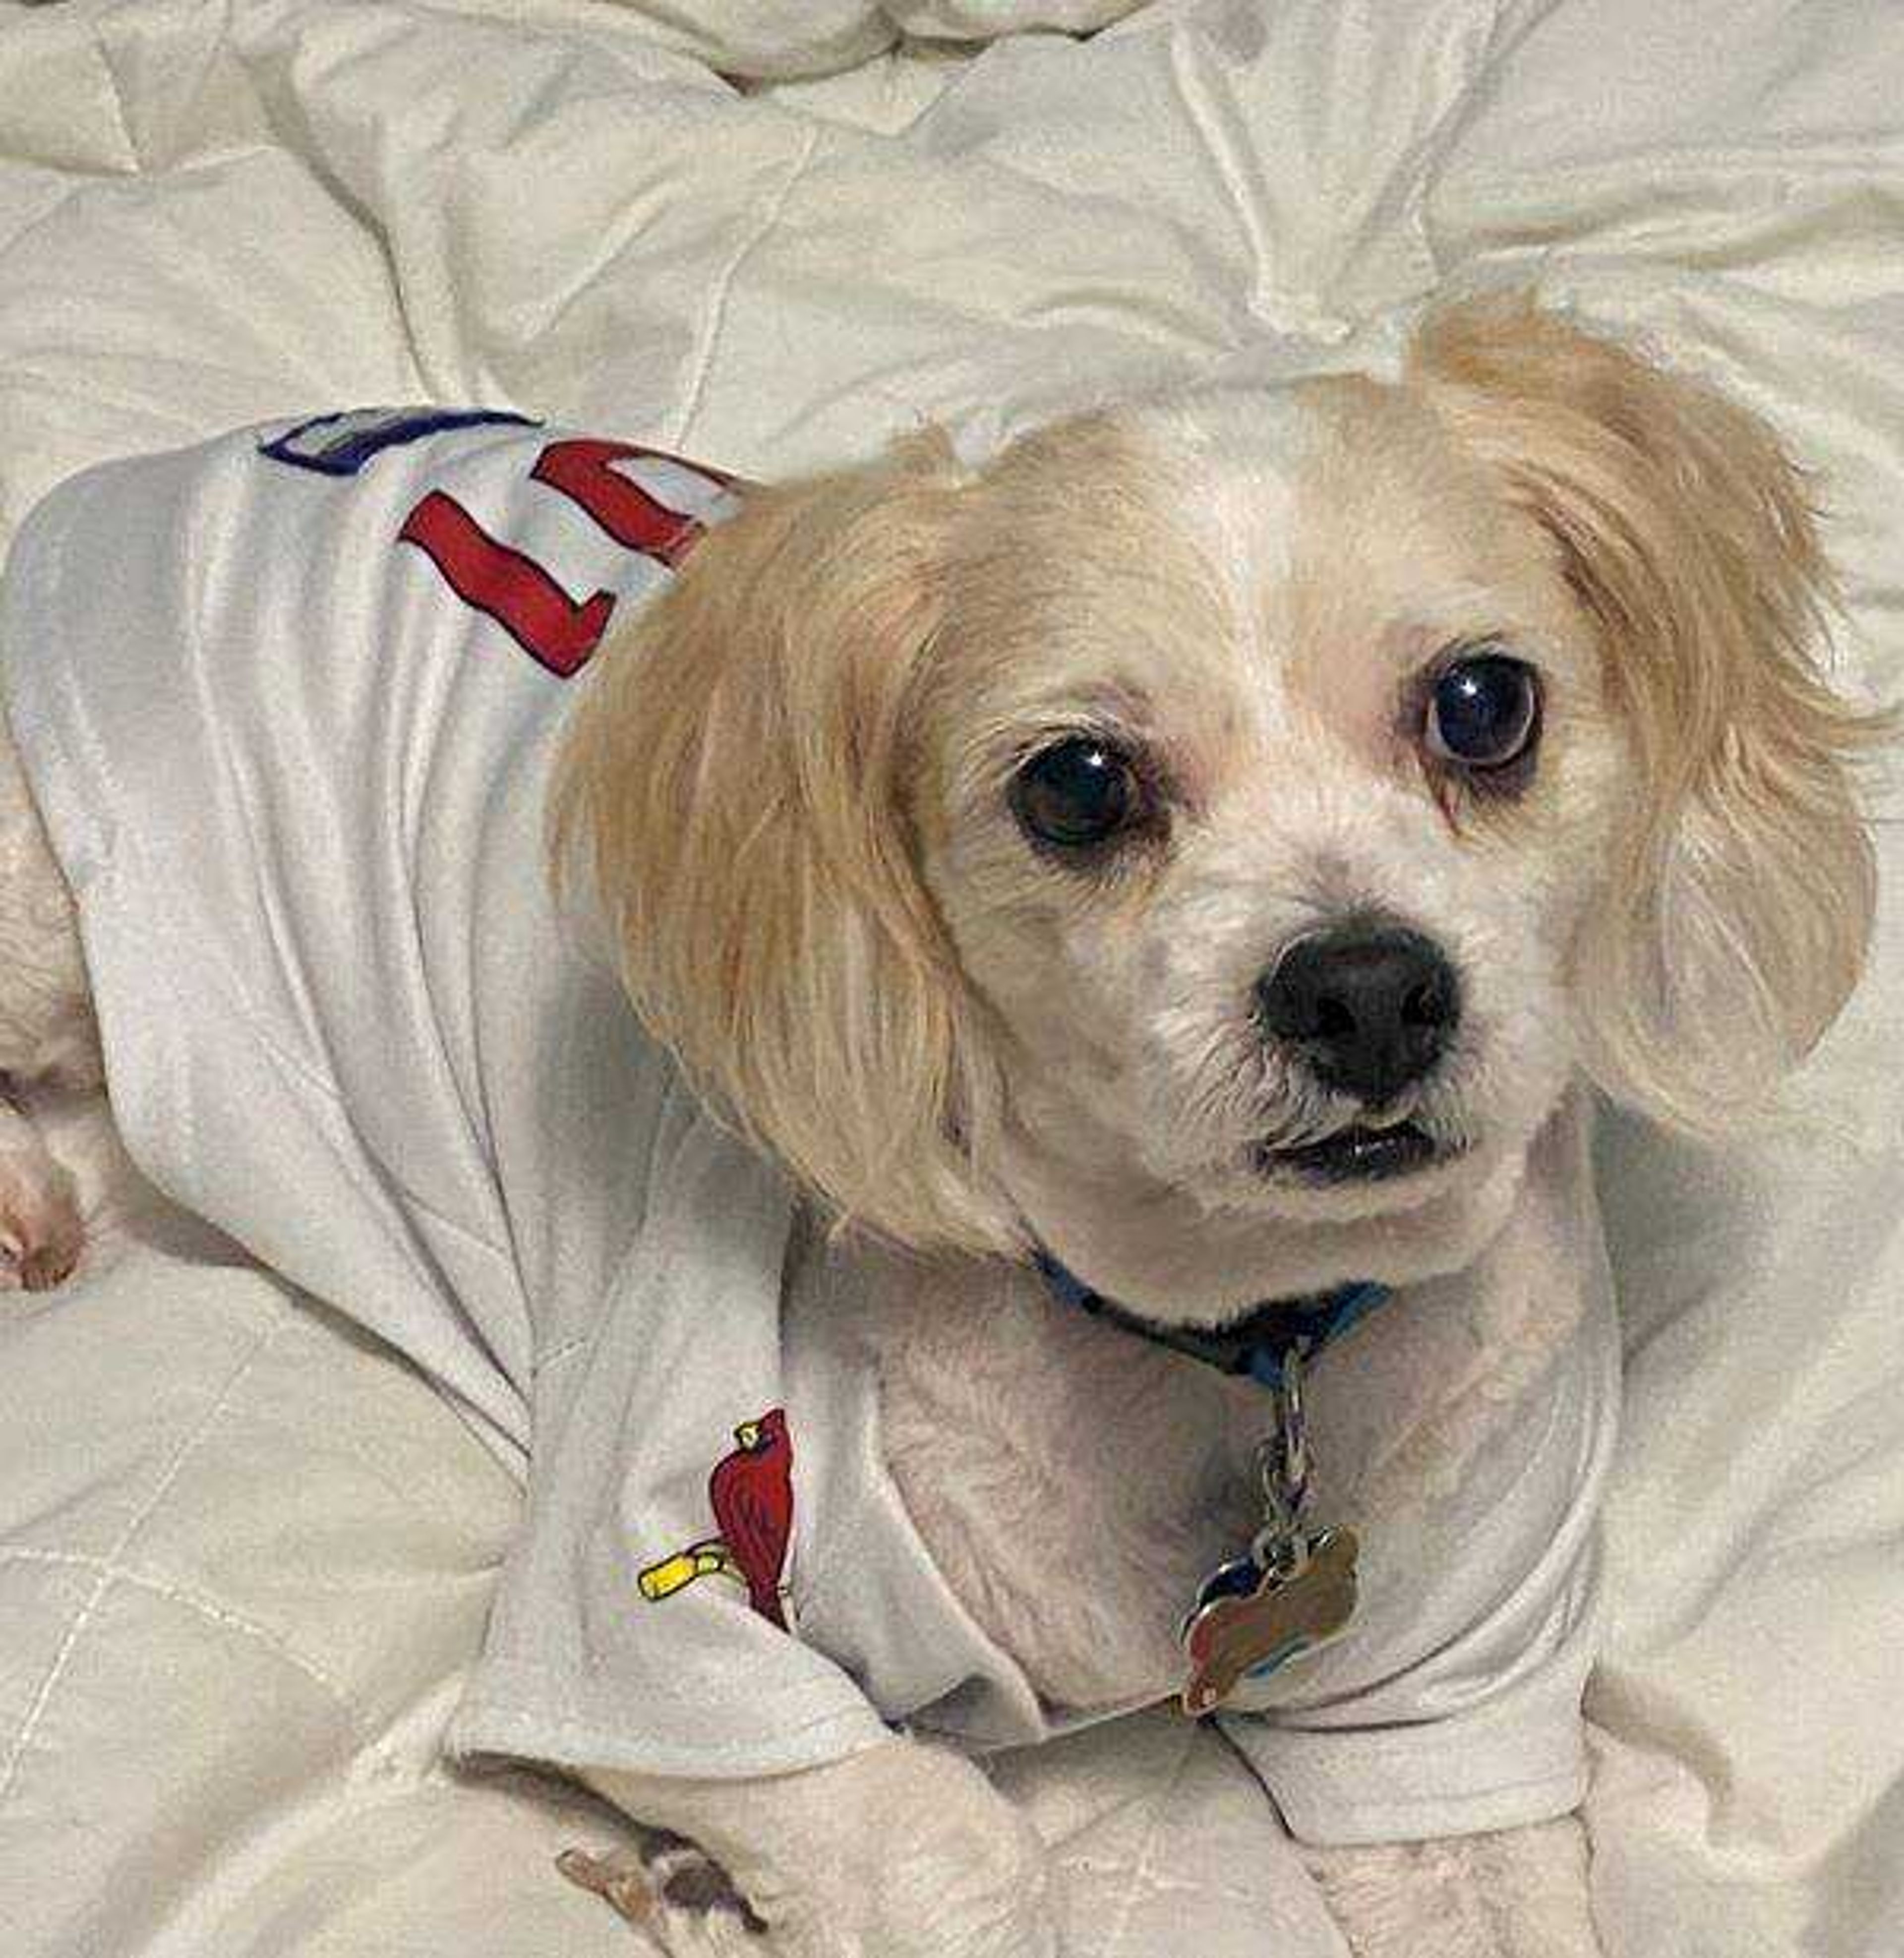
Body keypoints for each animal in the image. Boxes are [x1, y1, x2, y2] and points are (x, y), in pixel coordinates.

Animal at [0, 294, 1880, 1958]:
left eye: (1486, 705)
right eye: (1080, 786)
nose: (1364, 988)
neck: (1223, 1341)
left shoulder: (1455, 1695)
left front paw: (704, 1897)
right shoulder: (655, 1616)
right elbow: (946, 1838)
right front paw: (721, 1892)